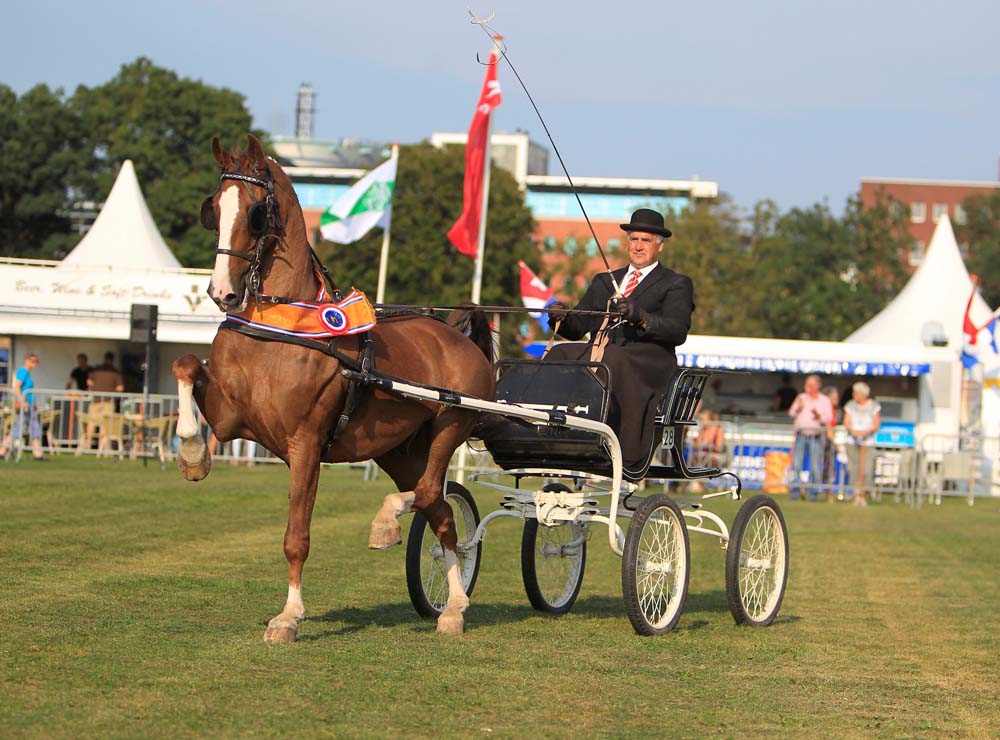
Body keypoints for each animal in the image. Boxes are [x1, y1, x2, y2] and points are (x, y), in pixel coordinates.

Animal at [178, 134, 498, 640]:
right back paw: (449, 602)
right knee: (442, 513)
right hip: (397, 449)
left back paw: (404, 542)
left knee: (431, 493)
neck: (280, 327)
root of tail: (455, 335)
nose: (221, 293)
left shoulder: (306, 442)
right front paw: (193, 455)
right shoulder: (231, 420)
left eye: (254, 211)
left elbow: (297, 536)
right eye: (214, 207)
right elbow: (186, 364)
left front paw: (289, 616)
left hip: (451, 423)